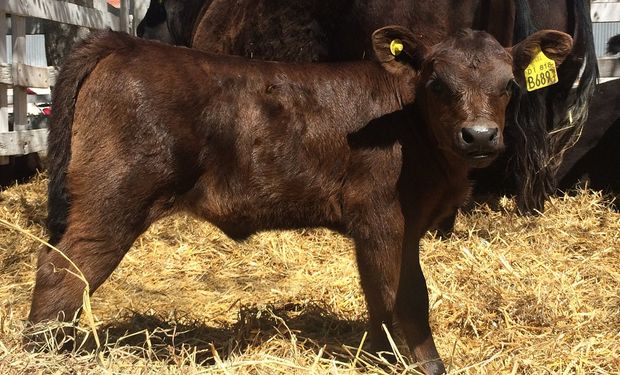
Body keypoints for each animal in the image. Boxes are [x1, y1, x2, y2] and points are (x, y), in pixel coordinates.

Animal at [29, 27, 572, 375]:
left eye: (509, 84)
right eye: (437, 83)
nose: (479, 136)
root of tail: (125, 43)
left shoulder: (390, 225)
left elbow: (388, 294)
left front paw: (391, 358)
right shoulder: (381, 215)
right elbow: (402, 294)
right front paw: (419, 363)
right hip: (115, 196)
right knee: (60, 270)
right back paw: (44, 353)